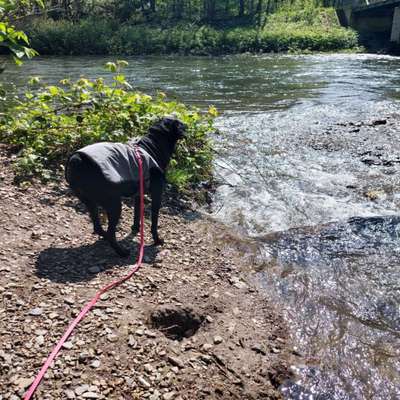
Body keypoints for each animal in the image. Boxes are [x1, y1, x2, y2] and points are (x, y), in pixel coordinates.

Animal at [65, 115, 186, 256]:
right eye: (181, 124)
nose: (186, 128)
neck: (152, 147)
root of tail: (76, 159)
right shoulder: (157, 193)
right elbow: (154, 221)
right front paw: (157, 240)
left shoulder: (139, 192)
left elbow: (137, 213)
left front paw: (135, 228)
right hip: (114, 204)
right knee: (111, 233)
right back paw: (122, 251)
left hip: (89, 200)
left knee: (98, 226)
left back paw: (105, 237)